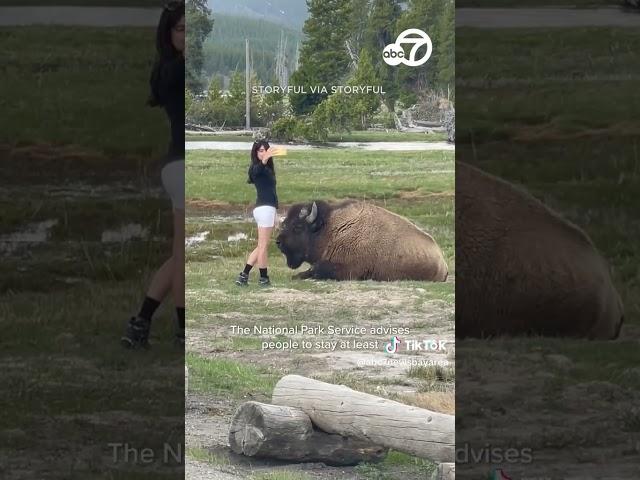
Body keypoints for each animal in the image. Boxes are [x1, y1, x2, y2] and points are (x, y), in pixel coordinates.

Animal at [276, 199, 450, 282]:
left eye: (297, 227)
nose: (278, 242)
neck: (330, 229)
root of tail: (443, 261)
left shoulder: (347, 269)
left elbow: (317, 269)